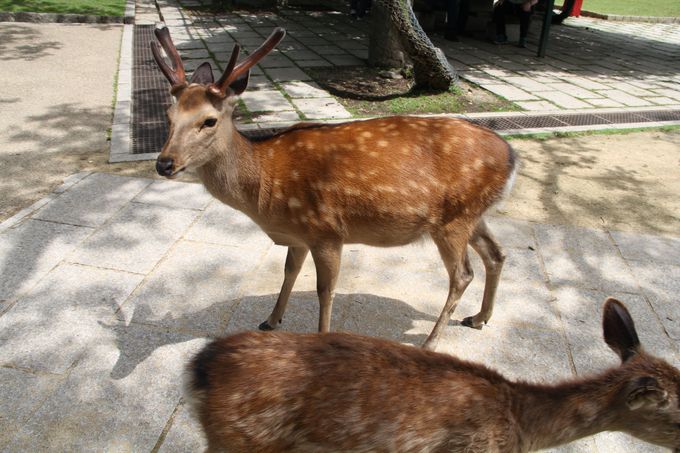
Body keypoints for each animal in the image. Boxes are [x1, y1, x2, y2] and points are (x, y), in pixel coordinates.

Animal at [151, 25, 516, 350]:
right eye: (168, 116)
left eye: (209, 120)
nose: (164, 163)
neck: (266, 189)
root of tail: (512, 157)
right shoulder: (298, 234)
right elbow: (289, 271)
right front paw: (271, 320)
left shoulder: (326, 229)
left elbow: (324, 291)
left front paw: (322, 338)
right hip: (472, 213)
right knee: (497, 253)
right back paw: (480, 317)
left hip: (453, 221)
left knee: (463, 275)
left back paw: (431, 341)